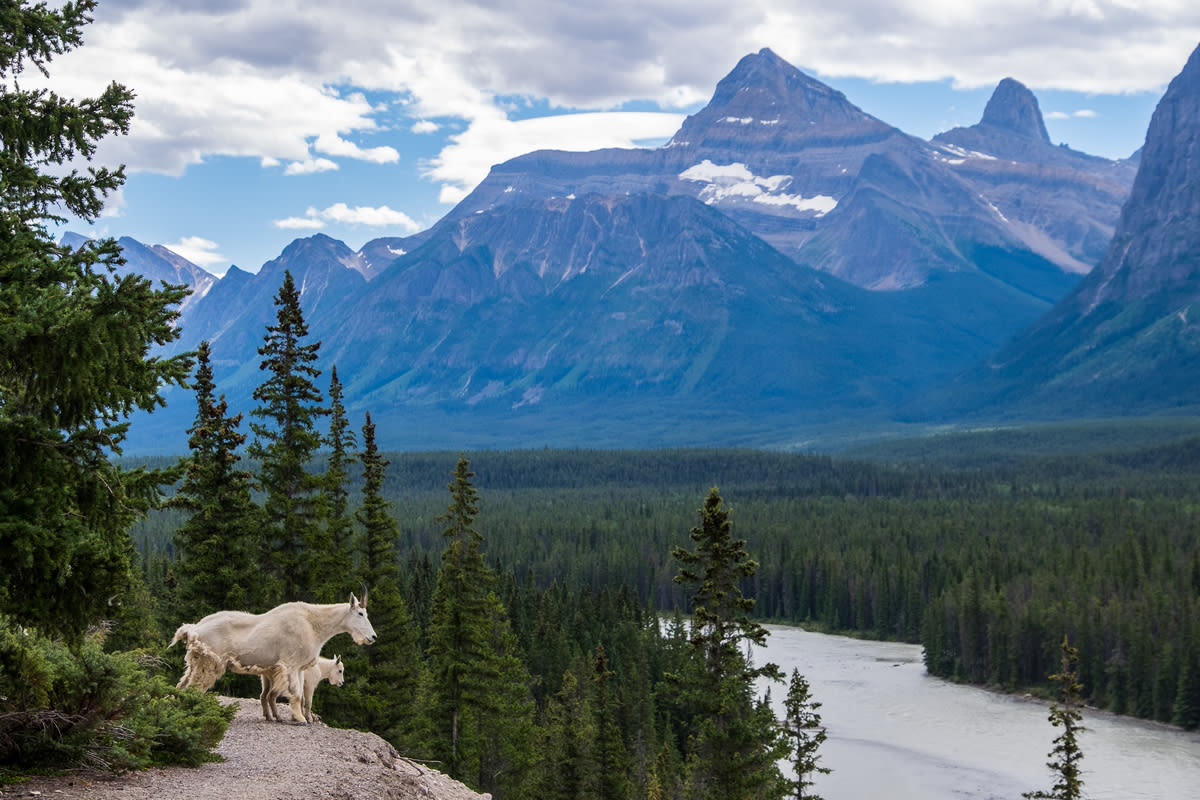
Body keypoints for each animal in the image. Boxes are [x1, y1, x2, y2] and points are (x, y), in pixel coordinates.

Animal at [170, 594, 374, 724]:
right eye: (360, 613)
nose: (373, 637)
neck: (313, 623)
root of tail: (193, 629)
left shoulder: (300, 668)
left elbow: (298, 695)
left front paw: (295, 717)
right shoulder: (291, 665)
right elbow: (297, 695)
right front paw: (301, 719)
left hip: (196, 663)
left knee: (182, 686)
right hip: (209, 662)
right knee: (194, 688)